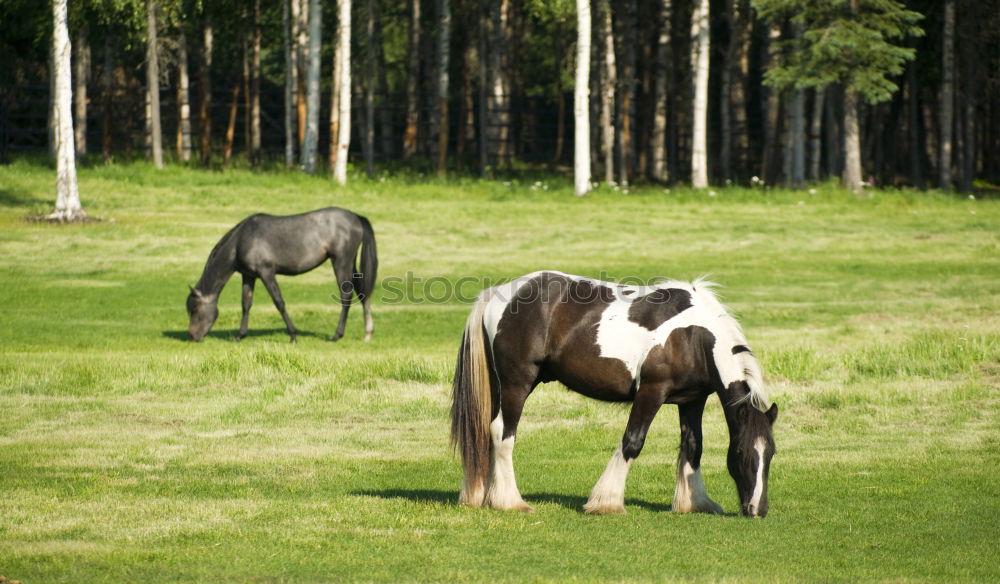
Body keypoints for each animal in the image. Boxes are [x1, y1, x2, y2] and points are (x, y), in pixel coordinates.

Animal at [186, 206, 376, 342]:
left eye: (195, 310)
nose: (193, 336)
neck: (241, 241)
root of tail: (356, 217)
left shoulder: (266, 273)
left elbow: (279, 302)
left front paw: (293, 335)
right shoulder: (249, 276)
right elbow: (246, 304)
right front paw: (240, 335)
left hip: (341, 262)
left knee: (346, 296)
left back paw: (337, 335)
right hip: (350, 264)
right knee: (362, 292)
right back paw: (367, 333)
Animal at [450, 272, 776, 516]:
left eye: (771, 453)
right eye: (741, 452)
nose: (757, 510)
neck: (693, 336)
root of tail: (498, 292)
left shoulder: (693, 400)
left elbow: (693, 446)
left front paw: (694, 503)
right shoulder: (651, 392)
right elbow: (633, 442)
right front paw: (606, 502)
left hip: (501, 386)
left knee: (487, 432)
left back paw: (486, 496)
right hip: (517, 383)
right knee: (502, 433)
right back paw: (510, 501)